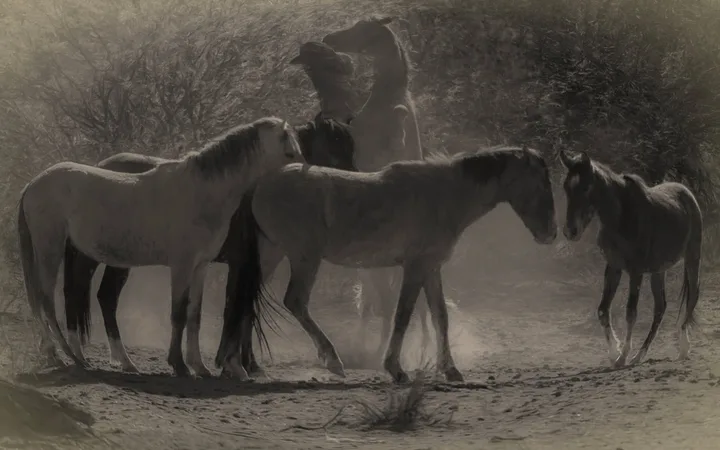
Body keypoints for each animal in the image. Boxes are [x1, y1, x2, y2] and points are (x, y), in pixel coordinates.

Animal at [62, 116, 357, 376]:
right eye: (333, 149)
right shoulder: (235, 265)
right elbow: (226, 310)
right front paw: (227, 364)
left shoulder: (235, 266)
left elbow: (225, 312)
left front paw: (232, 364)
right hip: (96, 256)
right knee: (84, 294)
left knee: (105, 296)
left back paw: (120, 360)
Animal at [218, 146, 557, 383]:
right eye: (542, 184)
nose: (551, 234)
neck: (443, 194)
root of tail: (261, 183)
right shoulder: (415, 267)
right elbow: (403, 315)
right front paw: (395, 369)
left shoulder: (431, 268)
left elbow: (440, 316)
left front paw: (450, 369)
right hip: (304, 258)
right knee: (294, 302)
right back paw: (332, 360)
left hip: (270, 255)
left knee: (245, 299)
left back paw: (240, 366)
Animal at [559, 150, 702, 368]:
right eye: (566, 187)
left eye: (586, 187)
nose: (571, 231)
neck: (621, 217)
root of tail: (687, 193)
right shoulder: (613, 268)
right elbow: (603, 310)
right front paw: (614, 352)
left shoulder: (635, 271)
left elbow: (630, 313)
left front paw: (623, 355)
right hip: (659, 270)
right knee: (660, 307)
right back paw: (640, 356)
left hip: (692, 259)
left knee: (691, 298)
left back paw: (683, 348)